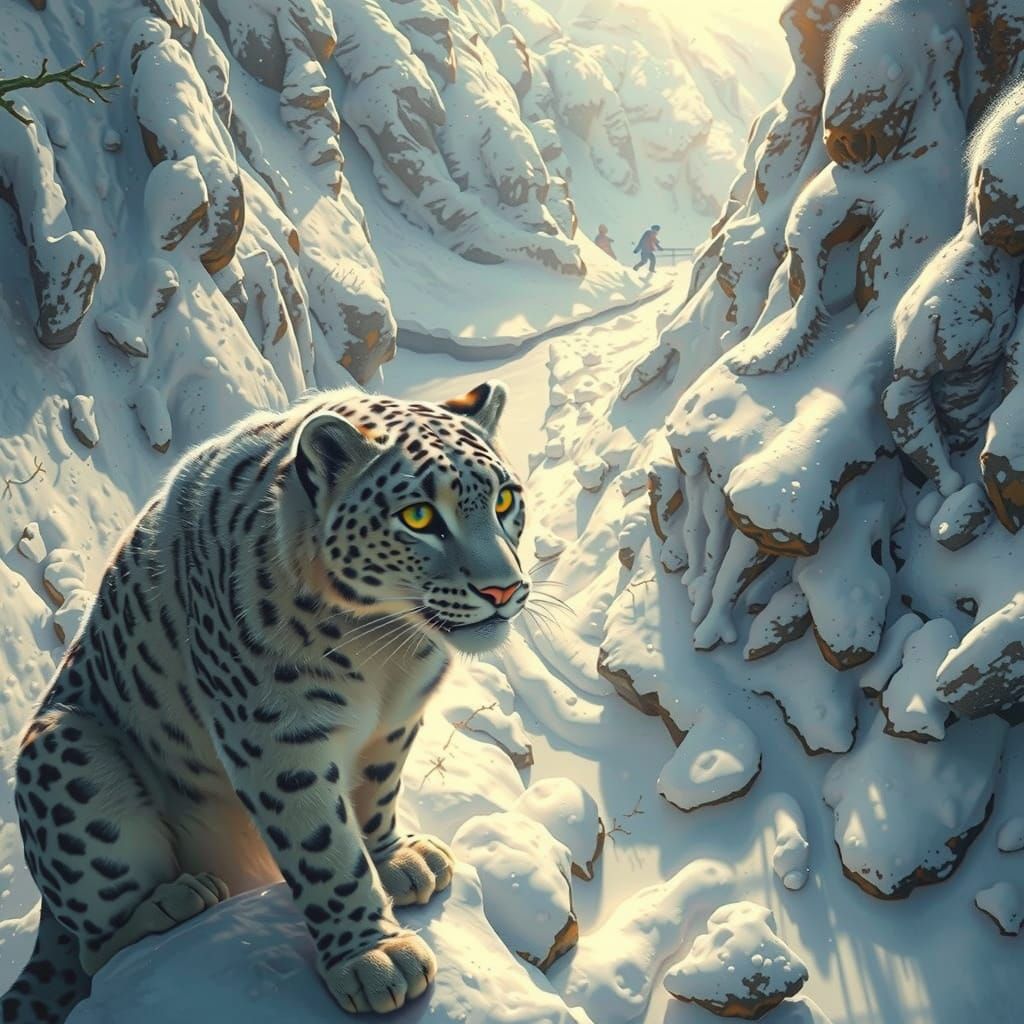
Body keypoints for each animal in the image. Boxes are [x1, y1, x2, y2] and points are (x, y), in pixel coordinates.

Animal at [2, 381, 529, 1021]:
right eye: (420, 516)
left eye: (506, 500)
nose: (503, 589)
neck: (386, 650)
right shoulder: (277, 734)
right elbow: (322, 845)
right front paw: (373, 958)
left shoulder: (396, 722)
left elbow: (376, 789)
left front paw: (394, 857)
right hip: (67, 753)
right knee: (92, 950)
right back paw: (177, 900)